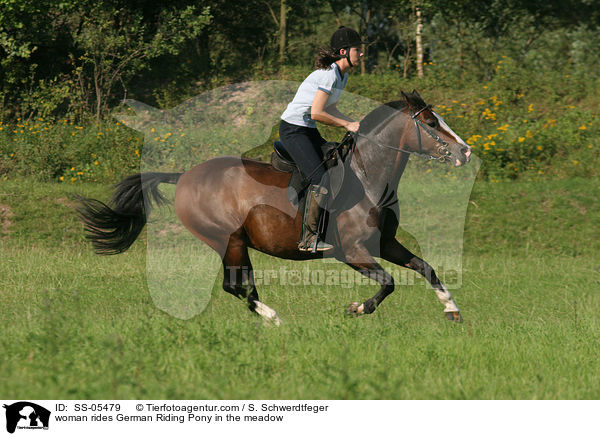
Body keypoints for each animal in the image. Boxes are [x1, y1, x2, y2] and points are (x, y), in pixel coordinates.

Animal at [77, 90, 474, 326]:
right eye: (430, 123)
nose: (466, 151)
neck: (367, 175)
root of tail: (186, 176)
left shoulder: (384, 243)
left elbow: (426, 267)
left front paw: (451, 308)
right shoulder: (352, 251)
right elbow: (389, 282)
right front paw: (358, 308)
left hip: (236, 243)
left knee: (242, 285)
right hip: (229, 240)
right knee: (235, 286)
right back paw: (275, 318)